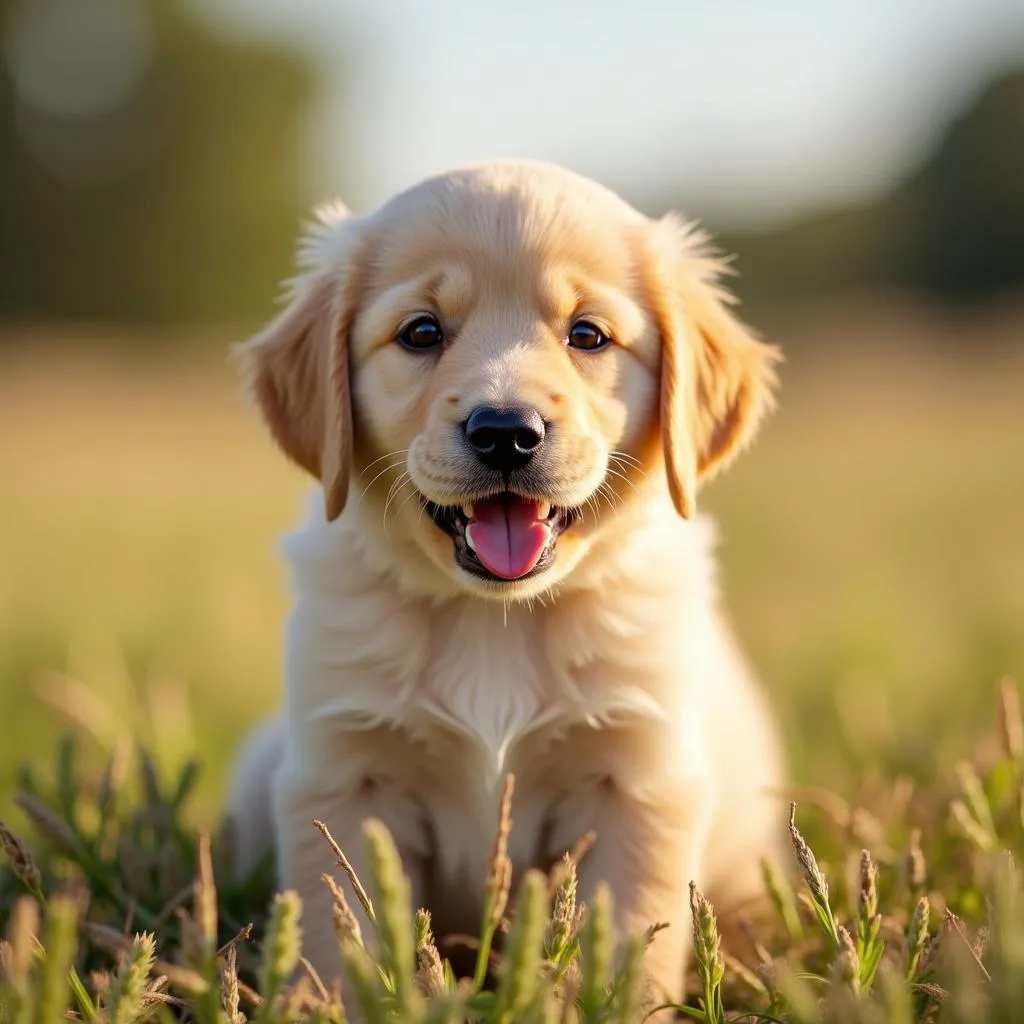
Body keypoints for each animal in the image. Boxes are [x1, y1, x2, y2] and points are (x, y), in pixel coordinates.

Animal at [224, 159, 782, 1007]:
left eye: (588, 334)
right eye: (421, 332)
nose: (505, 433)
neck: (495, 616)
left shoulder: (638, 783)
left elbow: (628, 940)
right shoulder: (344, 779)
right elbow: (336, 935)